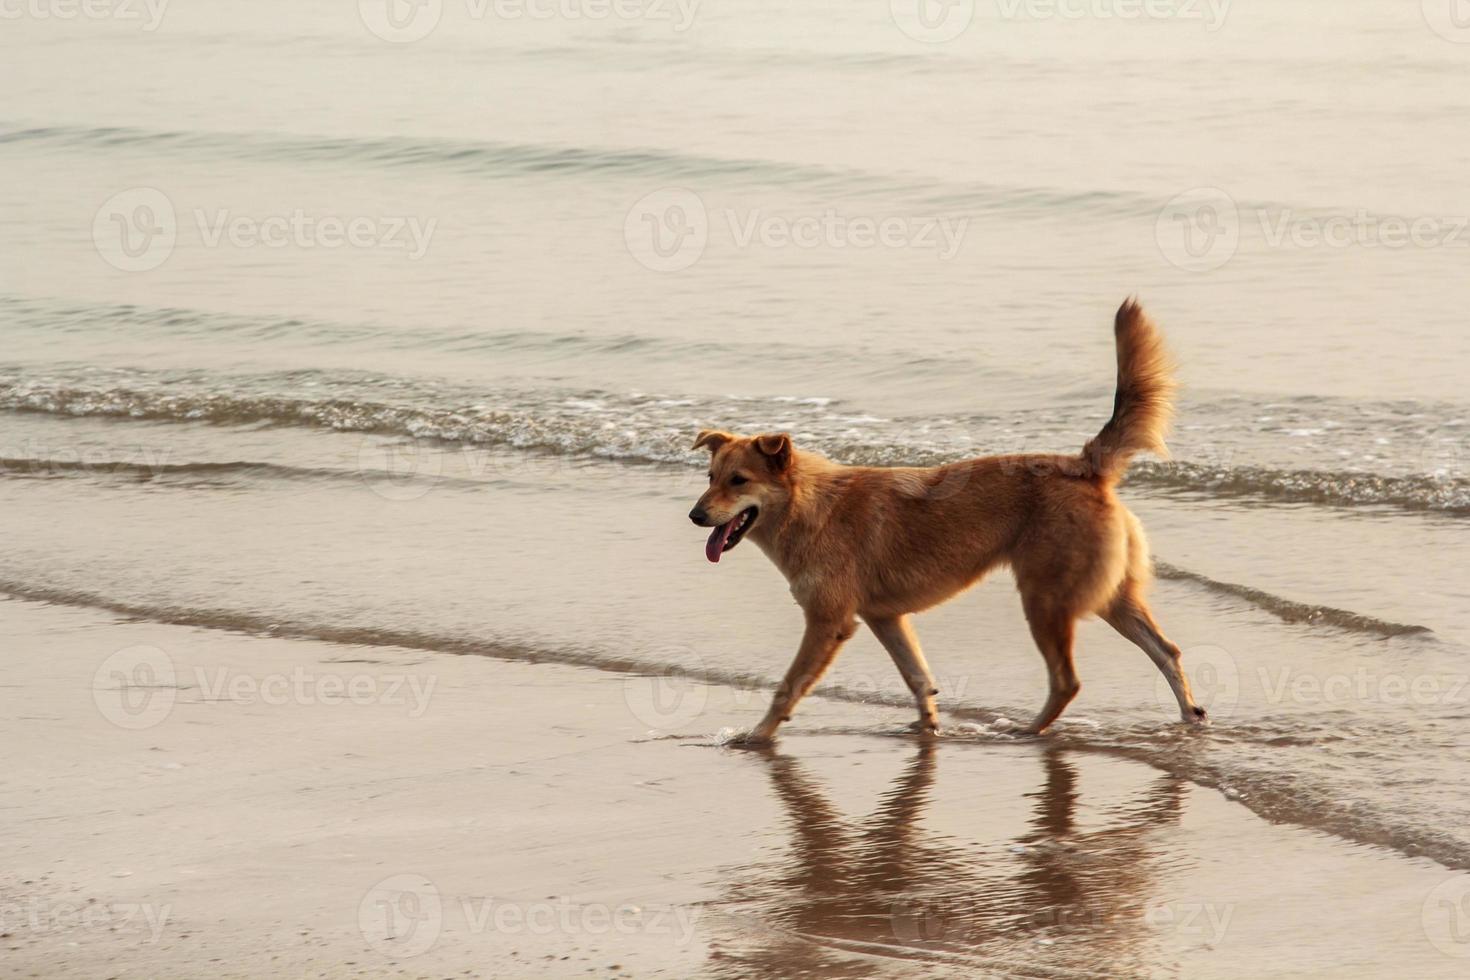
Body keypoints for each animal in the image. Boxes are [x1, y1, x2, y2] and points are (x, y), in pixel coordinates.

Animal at [687, 301, 1205, 743]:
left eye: (738, 481)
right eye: (710, 477)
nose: (695, 515)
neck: (813, 506)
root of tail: (1083, 465)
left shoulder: (828, 622)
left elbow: (789, 687)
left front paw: (758, 736)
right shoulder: (885, 617)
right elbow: (918, 678)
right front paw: (927, 728)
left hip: (1046, 601)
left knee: (1068, 681)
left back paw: (1028, 731)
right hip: (1109, 597)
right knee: (1167, 651)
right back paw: (1190, 717)